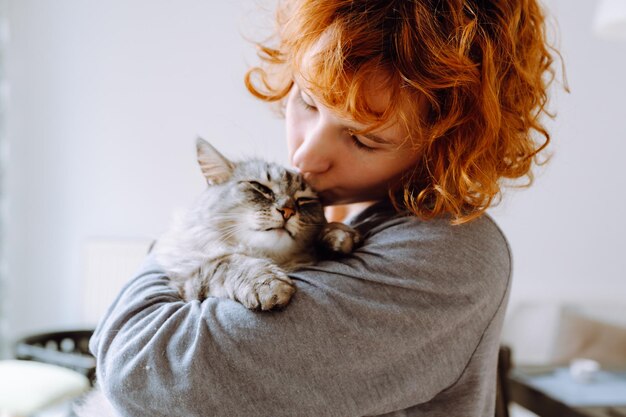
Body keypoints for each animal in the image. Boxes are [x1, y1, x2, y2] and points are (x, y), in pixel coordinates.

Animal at [73, 140, 358, 416]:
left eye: (304, 201)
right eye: (261, 188)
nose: (287, 210)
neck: (269, 255)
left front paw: (339, 235)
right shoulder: (189, 279)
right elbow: (230, 263)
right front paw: (269, 285)